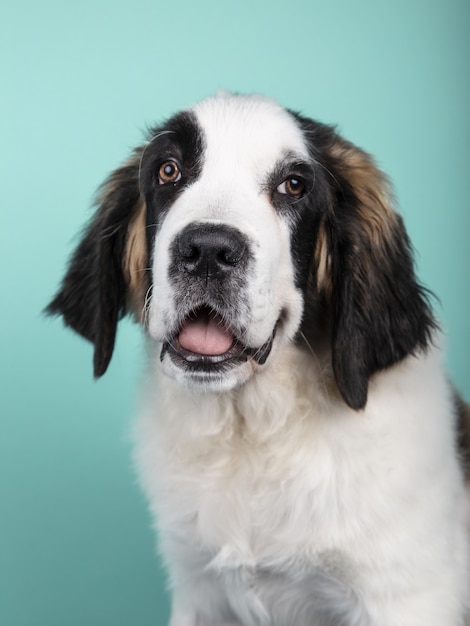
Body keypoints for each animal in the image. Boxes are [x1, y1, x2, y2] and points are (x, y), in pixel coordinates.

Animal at [48, 92, 470, 624]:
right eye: (168, 170)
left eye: (293, 186)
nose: (207, 250)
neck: (253, 431)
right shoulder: (200, 596)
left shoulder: (404, 598)